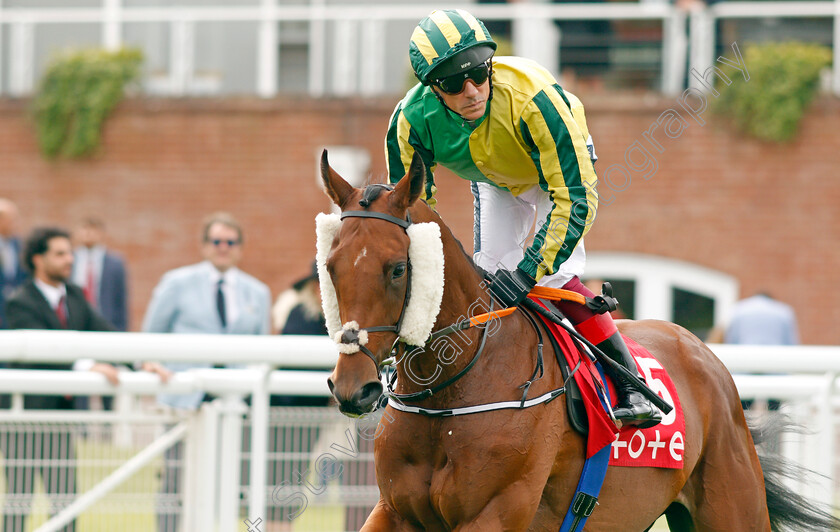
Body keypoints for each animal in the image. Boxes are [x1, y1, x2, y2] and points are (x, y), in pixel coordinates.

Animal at [316, 151, 832, 532]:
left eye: (398, 268)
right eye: (330, 266)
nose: (354, 388)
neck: (451, 390)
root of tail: (704, 353)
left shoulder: (495, 512)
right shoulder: (395, 510)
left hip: (732, 505)